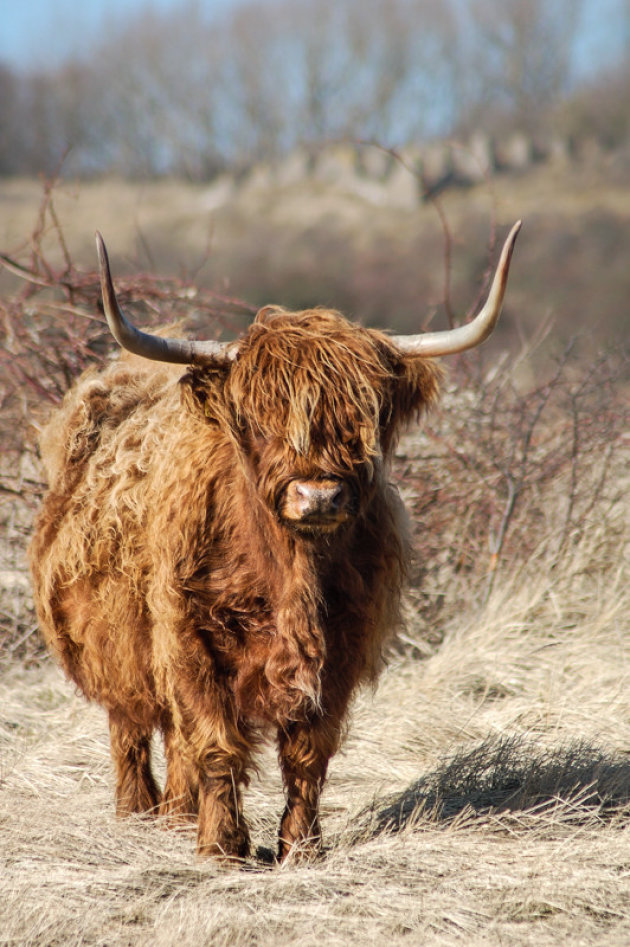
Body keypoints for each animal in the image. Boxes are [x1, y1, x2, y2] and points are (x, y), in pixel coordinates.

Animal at [29, 222, 524, 860]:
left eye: (363, 419)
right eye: (258, 420)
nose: (318, 496)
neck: (288, 572)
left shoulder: (340, 649)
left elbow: (307, 753)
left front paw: (300, 846)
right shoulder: (190, 640)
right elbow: (215, 743)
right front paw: (222, 848)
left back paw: (176, 817)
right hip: (114, 648)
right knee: (133, 730)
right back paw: (138, 816)